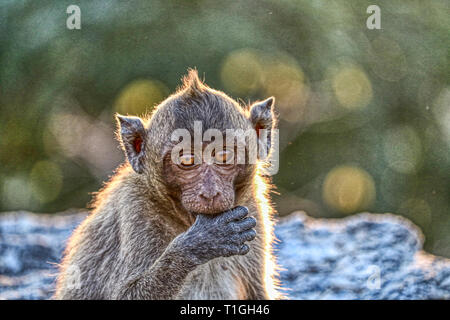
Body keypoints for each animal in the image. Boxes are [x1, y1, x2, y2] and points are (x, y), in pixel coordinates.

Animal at [54, 70, 282, 300]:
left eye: (224, 157)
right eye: (187, 161)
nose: (210, 193)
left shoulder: (253, 207)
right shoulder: (135, 209)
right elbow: (123, 294)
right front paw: (201, 242)